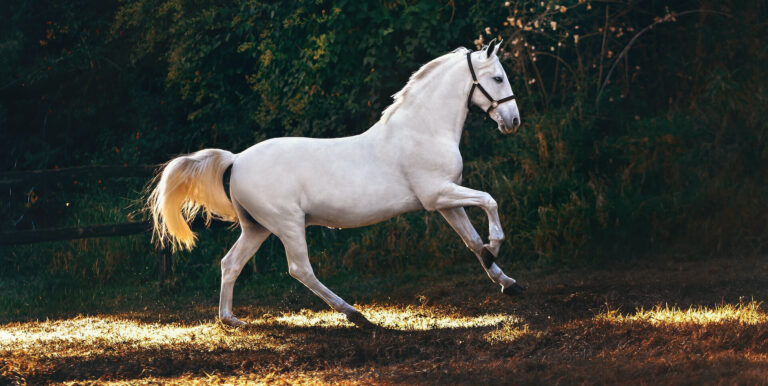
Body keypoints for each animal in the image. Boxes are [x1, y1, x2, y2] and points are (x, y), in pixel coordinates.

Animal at [148, 39, 524, 328]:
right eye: (498, 77)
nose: (513, 121)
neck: (423, 130)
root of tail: (237, 159)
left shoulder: (447, 201)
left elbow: (472, 241)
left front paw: (506, 281)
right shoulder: (438, 195)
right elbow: (489, 201)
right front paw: (496, 245)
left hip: (257, 228)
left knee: (231, 264)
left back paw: (231, 320)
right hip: (287, 224)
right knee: (300, 269)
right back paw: (354, 314)